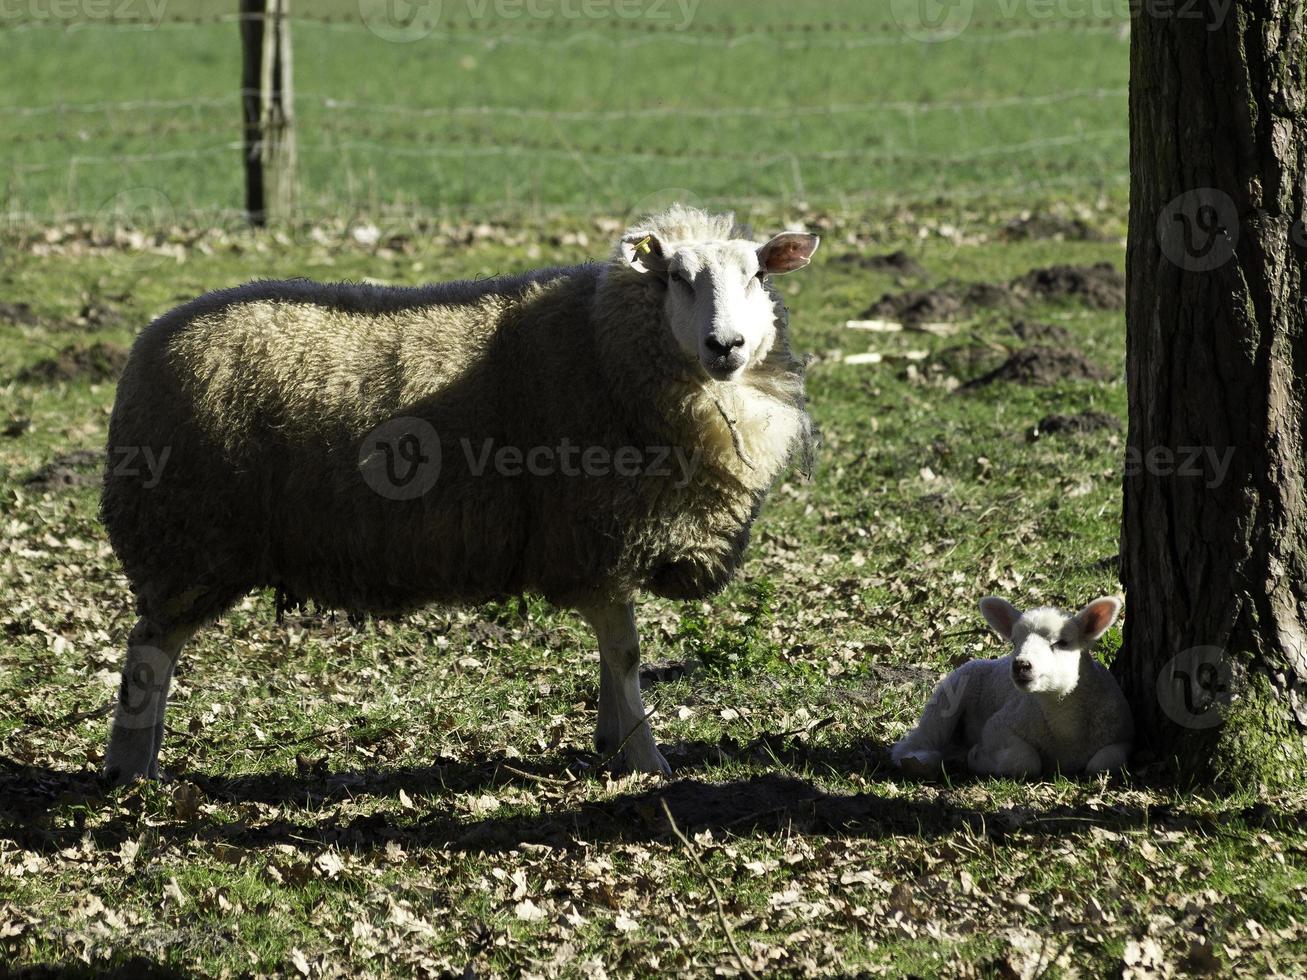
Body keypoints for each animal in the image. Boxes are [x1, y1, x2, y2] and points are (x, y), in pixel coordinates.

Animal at [99, 205, 815, 783]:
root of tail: (150, 341)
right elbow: (627, 653)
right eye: (675, 278)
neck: (605, 345)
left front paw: (612, 742)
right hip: (188, 537)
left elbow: (615, 658)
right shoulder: (593, 536)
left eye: (758, 275)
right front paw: (645, 758)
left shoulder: (602, 544)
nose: (726, 345)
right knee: (149, 652)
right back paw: (132, 769)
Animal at [888, 598, 1134, 783]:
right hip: (948, 697)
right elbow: (1024, 762)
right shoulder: (997, 727)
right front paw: (977, 757)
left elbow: (1100, 765)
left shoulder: (1123, 736)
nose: (1021, 665)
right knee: (919, 740)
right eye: (1015, 641)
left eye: (1062, 642)